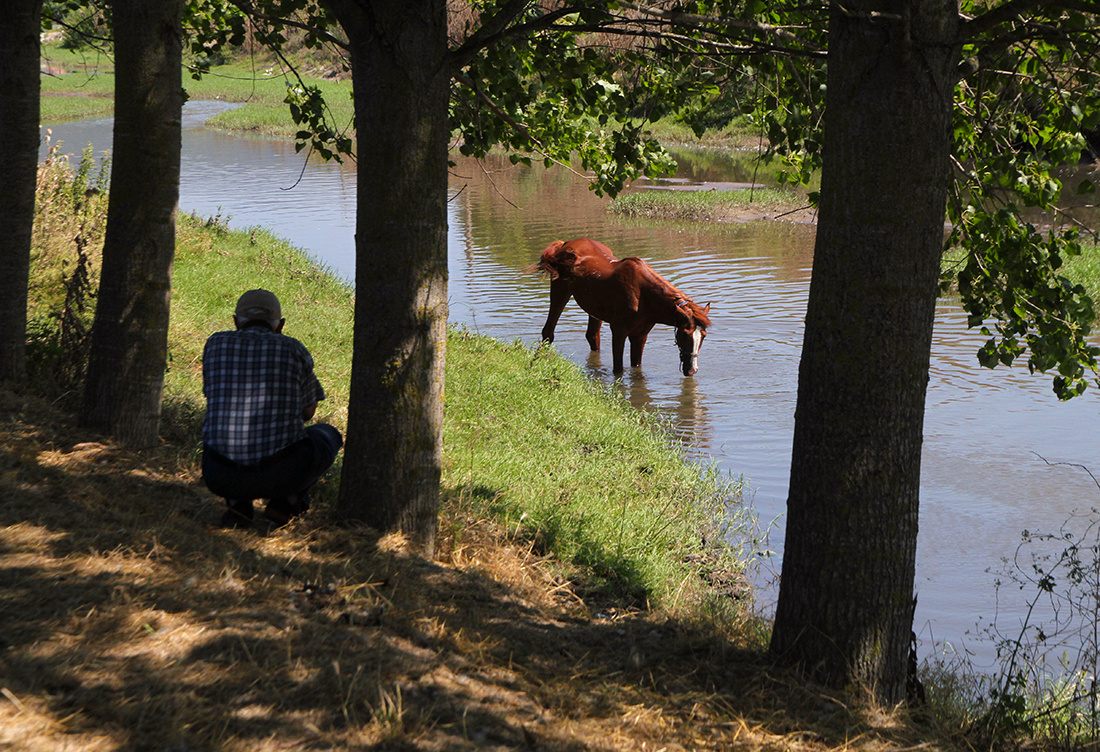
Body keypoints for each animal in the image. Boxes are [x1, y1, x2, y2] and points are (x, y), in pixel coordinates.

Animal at [534, 237, 712, 376]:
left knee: (592, 336)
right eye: (684, 335)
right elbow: (618, 370)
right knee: (548, 331)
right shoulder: (619, 331)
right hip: (560, 291)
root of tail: (564, 244)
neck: (643, 296)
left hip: (594, 310)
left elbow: (636, 366)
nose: (692, 370)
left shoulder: (640, 335)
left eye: (703, 336)